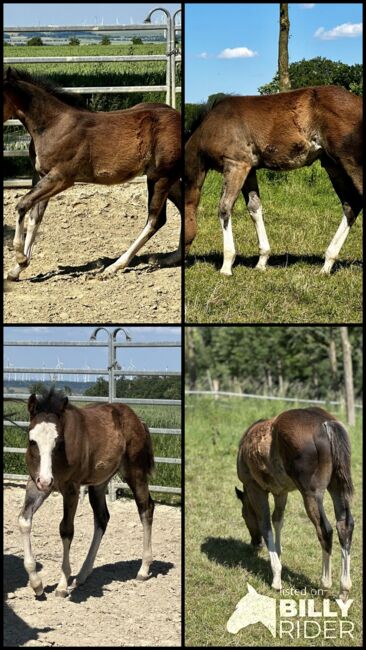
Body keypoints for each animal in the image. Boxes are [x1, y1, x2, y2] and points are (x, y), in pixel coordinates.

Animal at [18, 390, 154, 596]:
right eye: (32, 440)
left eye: (58, 441)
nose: (46, 481)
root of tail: (138, 420)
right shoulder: (36, 484)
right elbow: (24, 521)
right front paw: (36, 584)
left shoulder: (71, 489)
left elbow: (66, 529)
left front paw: (62, 585)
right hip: (98, 483)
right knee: (102, 518)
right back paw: (82, 575)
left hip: (135, 471)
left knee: (146, 508)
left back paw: (143, 569)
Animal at [186, 85, 364, 274]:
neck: (210, 127)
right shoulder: (249, 169)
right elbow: (254, 207)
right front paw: (262, 261)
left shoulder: (235, 165)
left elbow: (224, 207)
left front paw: (226, 266)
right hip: (333, 165)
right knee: (351, 206)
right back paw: (327, 265)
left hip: (350, 162)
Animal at [236, 408, 354, 600]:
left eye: (244, 515)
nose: (255, 543)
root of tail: (325, 423)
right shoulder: (280, 492)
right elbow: (278, 520)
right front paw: (278, 553)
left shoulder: (255, 488)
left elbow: (265, 525)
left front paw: (276, 578)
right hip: (337, 486)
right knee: (344, 526)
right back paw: (344, 589)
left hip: (311, 493)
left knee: (325, 530)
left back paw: (325, 584)